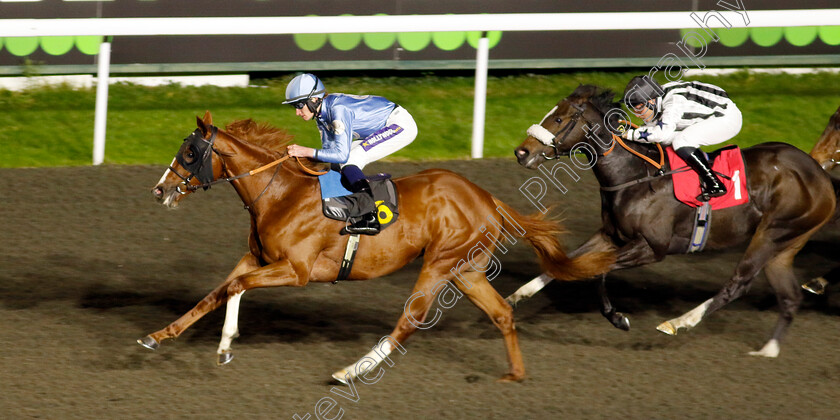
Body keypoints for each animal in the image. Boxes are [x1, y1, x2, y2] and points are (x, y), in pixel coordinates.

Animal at [138, 110, 612, 380]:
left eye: (189, 153)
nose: (160, 191)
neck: (281, 193)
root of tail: (486, 198)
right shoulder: (255, 258)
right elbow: (215, 293)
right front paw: (158, 336)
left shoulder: (297, 271)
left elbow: (235, 290)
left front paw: (224, 347)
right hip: (466, 269)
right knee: (502, 315)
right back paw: (515, 375)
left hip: (439, 264)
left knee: (410, 320)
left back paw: (351, 371)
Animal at [508, 85, 836, 358]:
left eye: (559, 119)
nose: (521, 152)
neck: (633, 176)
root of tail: (820, 175)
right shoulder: (611, 234)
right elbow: (567, 262)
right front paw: (515, 296)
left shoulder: (652, 248)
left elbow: (597, 269)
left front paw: (617, 317)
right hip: (785, 245)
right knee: (790, 297)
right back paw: (768, 350)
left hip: (771, 233)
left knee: (738, 284)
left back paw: (679, 322)